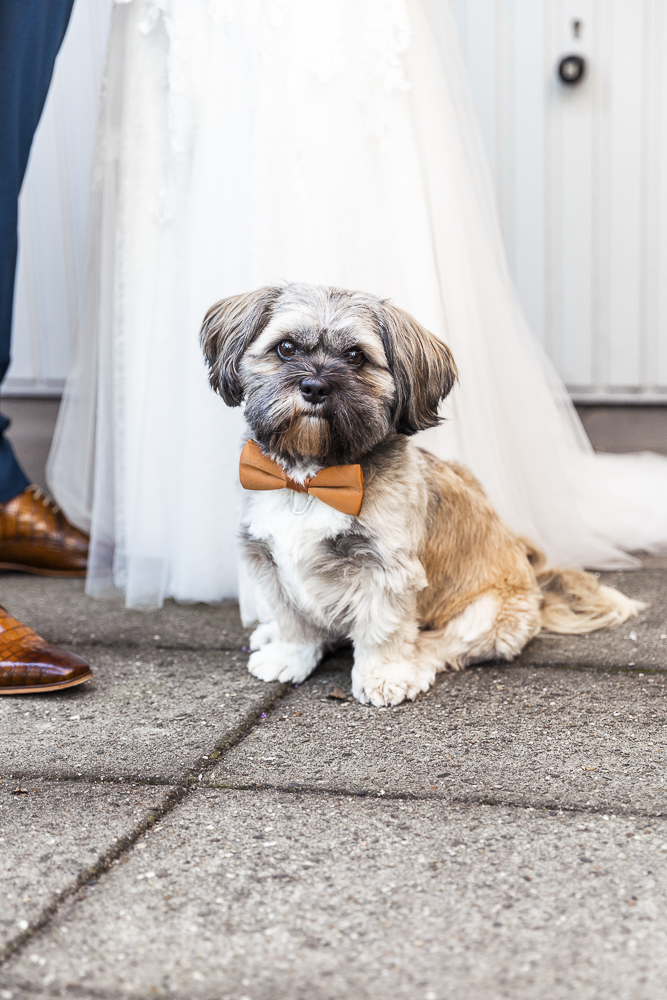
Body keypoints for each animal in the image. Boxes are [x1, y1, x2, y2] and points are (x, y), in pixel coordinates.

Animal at [202, 282, 640, 704]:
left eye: (356, 356)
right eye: (286, 347)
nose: (314, 386)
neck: (310, 479)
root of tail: (536, 585)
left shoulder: (386, 570)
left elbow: (382, 630)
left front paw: (383, 676)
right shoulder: (269, 560)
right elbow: (293, 620)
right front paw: (287, 654)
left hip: (490, 614)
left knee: (442, 644)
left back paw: (416, 661)